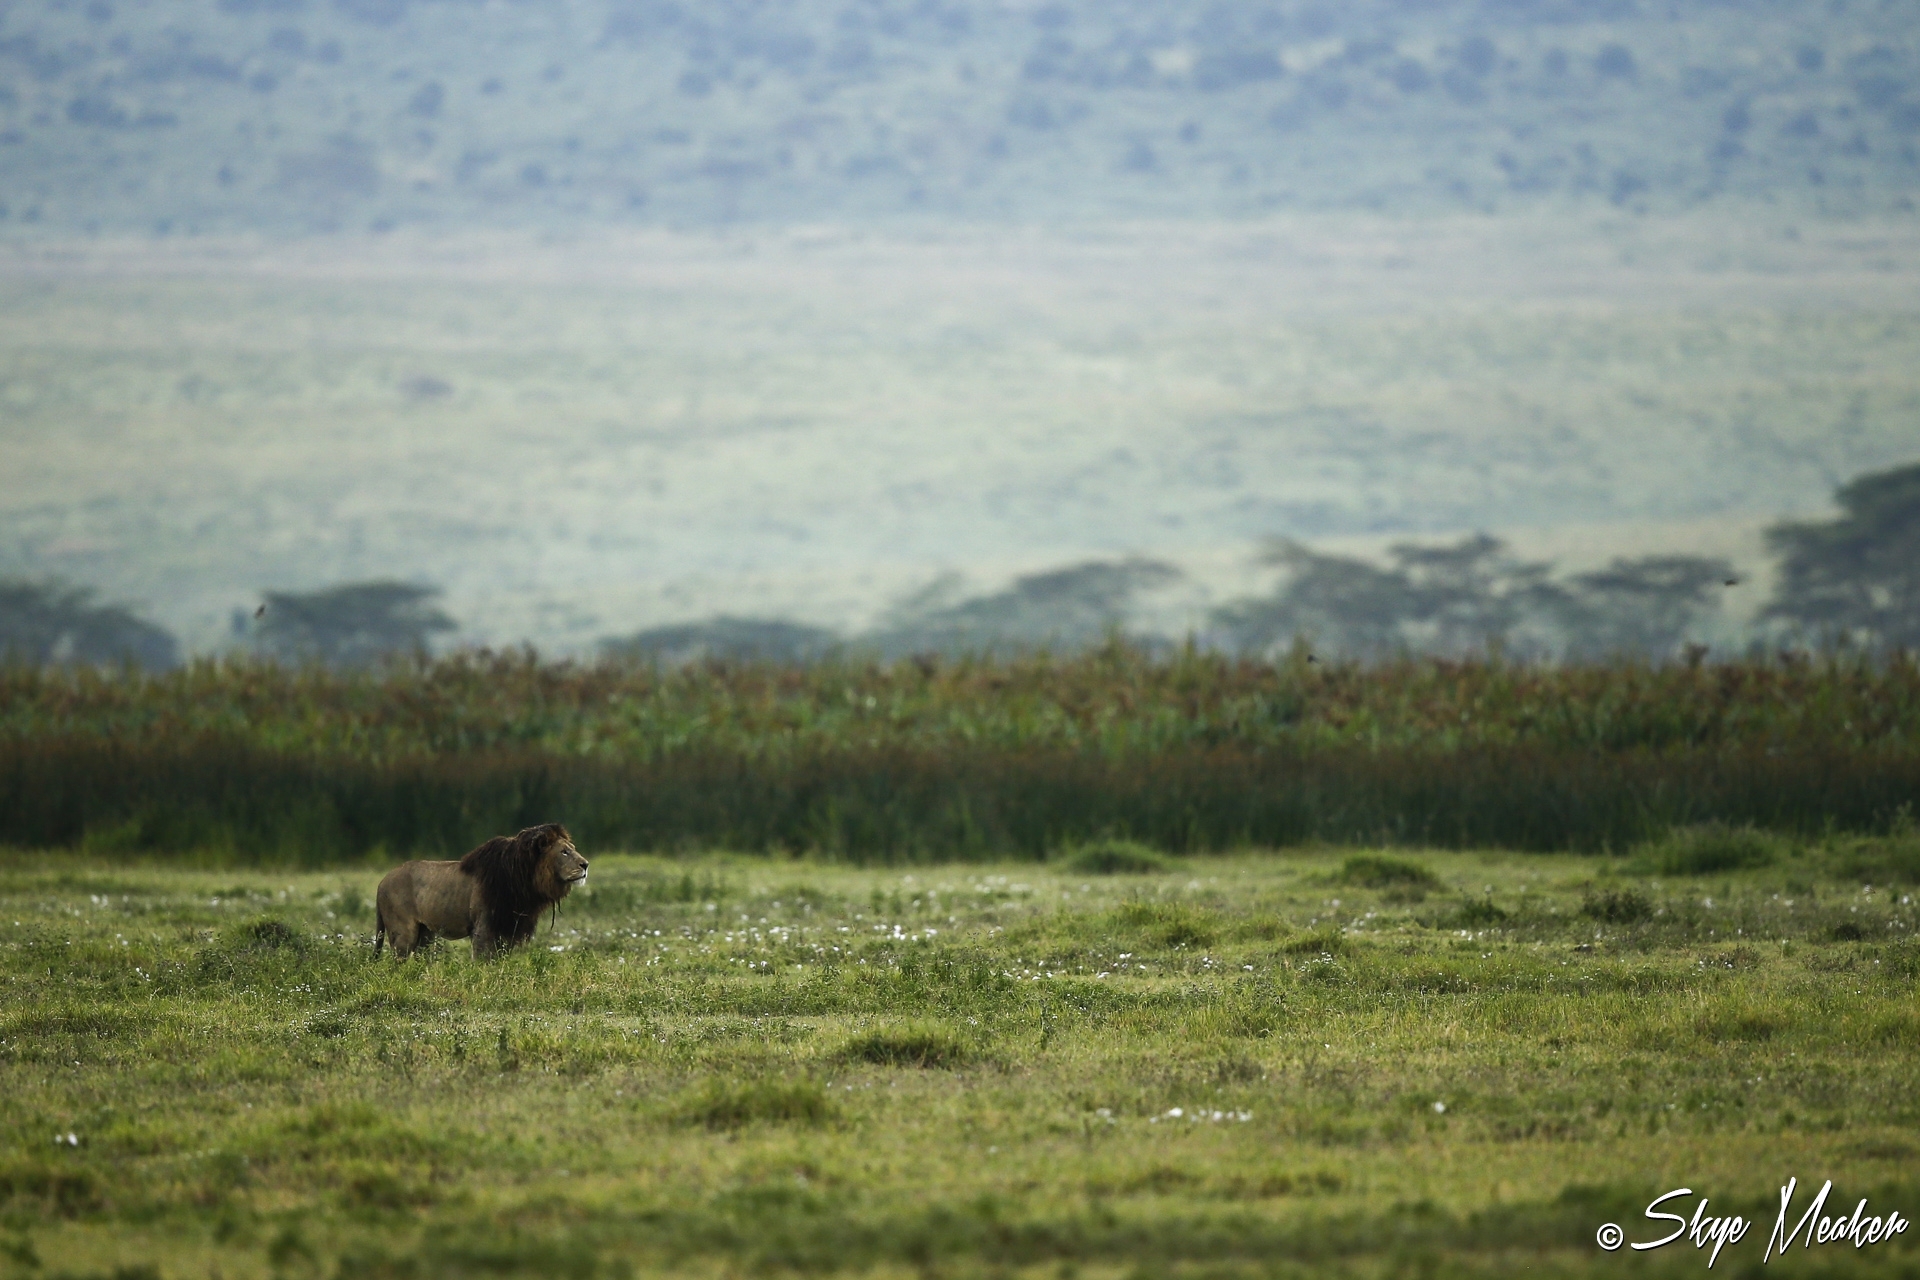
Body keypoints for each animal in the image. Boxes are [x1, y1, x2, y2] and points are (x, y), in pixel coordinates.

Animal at [374, 822, 588, 959]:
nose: (585, 864)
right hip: (403, 933)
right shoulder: (484, 928)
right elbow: (483, 961)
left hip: (425, 934)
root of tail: (382, 881)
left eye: (572, 848)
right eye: (564, 852)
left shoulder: (508, 928)